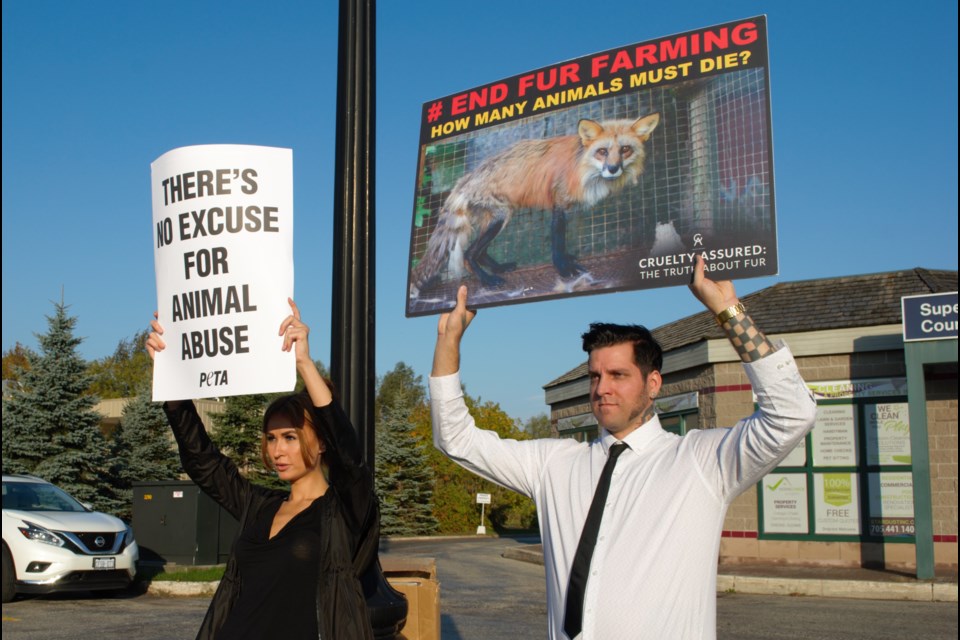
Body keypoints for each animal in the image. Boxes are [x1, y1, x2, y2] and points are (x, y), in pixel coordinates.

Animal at [408, 114, 664, 294]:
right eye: (602, 151)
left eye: (625, 149)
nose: (612, 168)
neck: (583, 168)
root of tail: (463, 181)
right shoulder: (559, 203)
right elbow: (557, 241)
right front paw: (564, 269)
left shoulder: (565, 207)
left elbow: (562, 240)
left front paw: (568, 261)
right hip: (501, 216)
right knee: (470, 254)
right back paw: (488, 279)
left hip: (498, 217)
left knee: (480, 252)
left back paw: (499, 268)